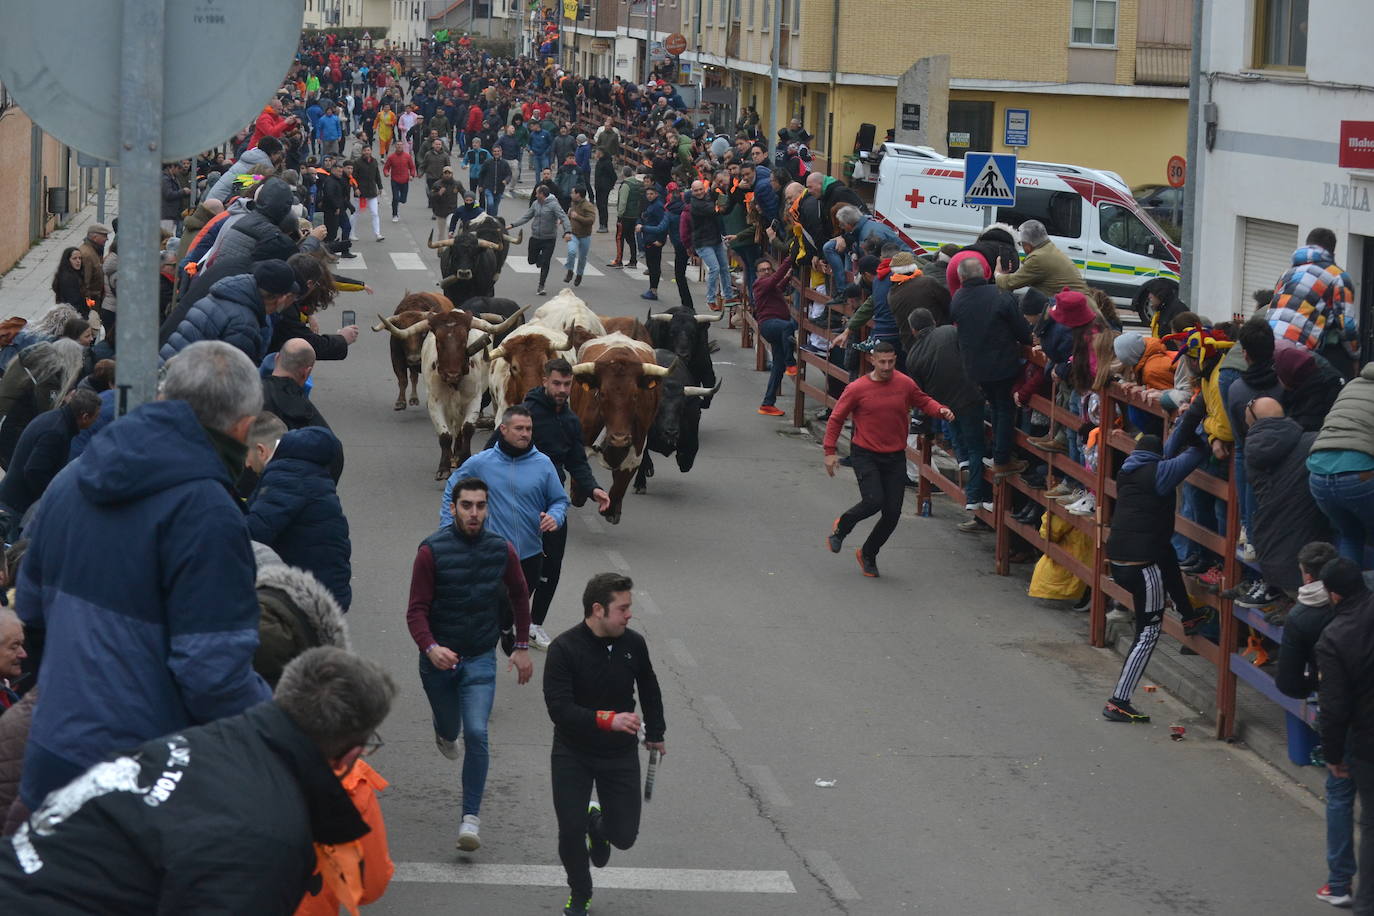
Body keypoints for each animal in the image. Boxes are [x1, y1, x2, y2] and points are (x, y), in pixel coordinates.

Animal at [568, 335, 670, 521]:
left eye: (635, 395)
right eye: (602, 394)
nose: (619, 438)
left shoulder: (636, 451)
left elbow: (619, 486)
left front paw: (611, 509)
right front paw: (579, 492)